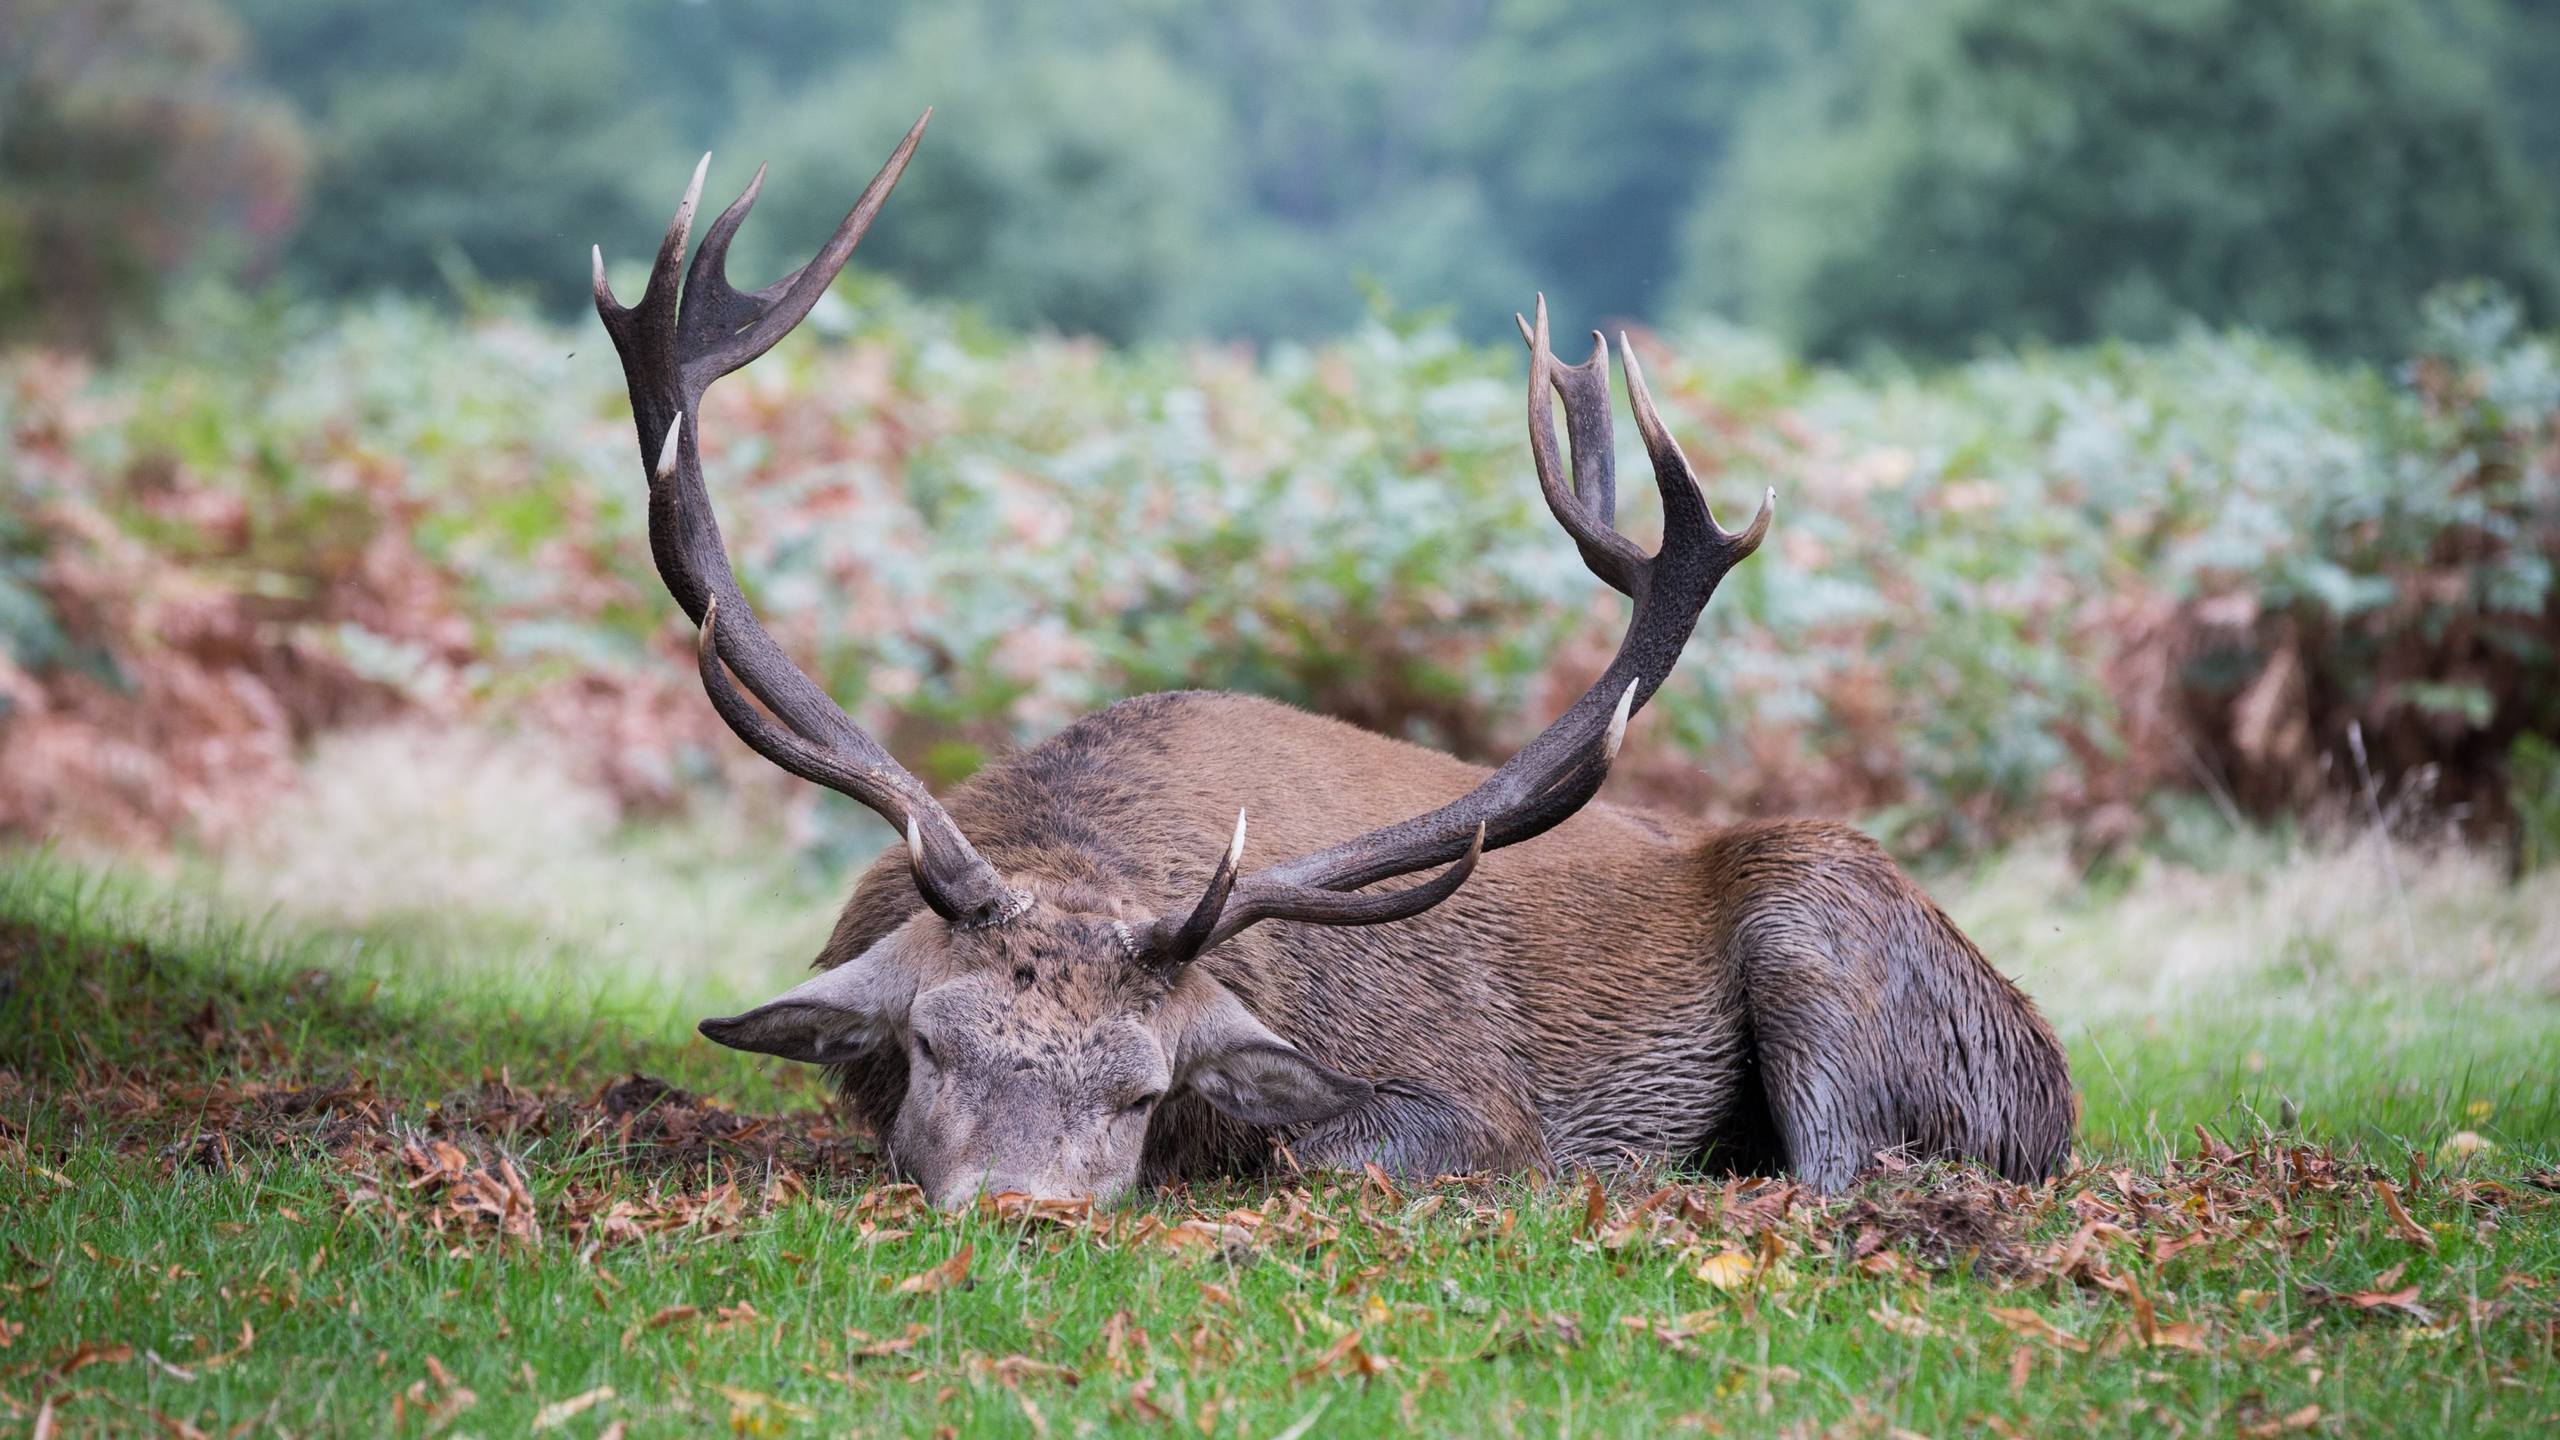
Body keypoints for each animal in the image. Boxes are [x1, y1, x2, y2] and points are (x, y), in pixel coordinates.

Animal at [599, 117, 2078, 1204]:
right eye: (927, 1047)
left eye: (1145, 1090)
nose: (1026, 1206)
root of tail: (2057, 1088)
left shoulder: (1471, 1104)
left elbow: (1326, 1158)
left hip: (1825, 928)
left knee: (1834, 1169)